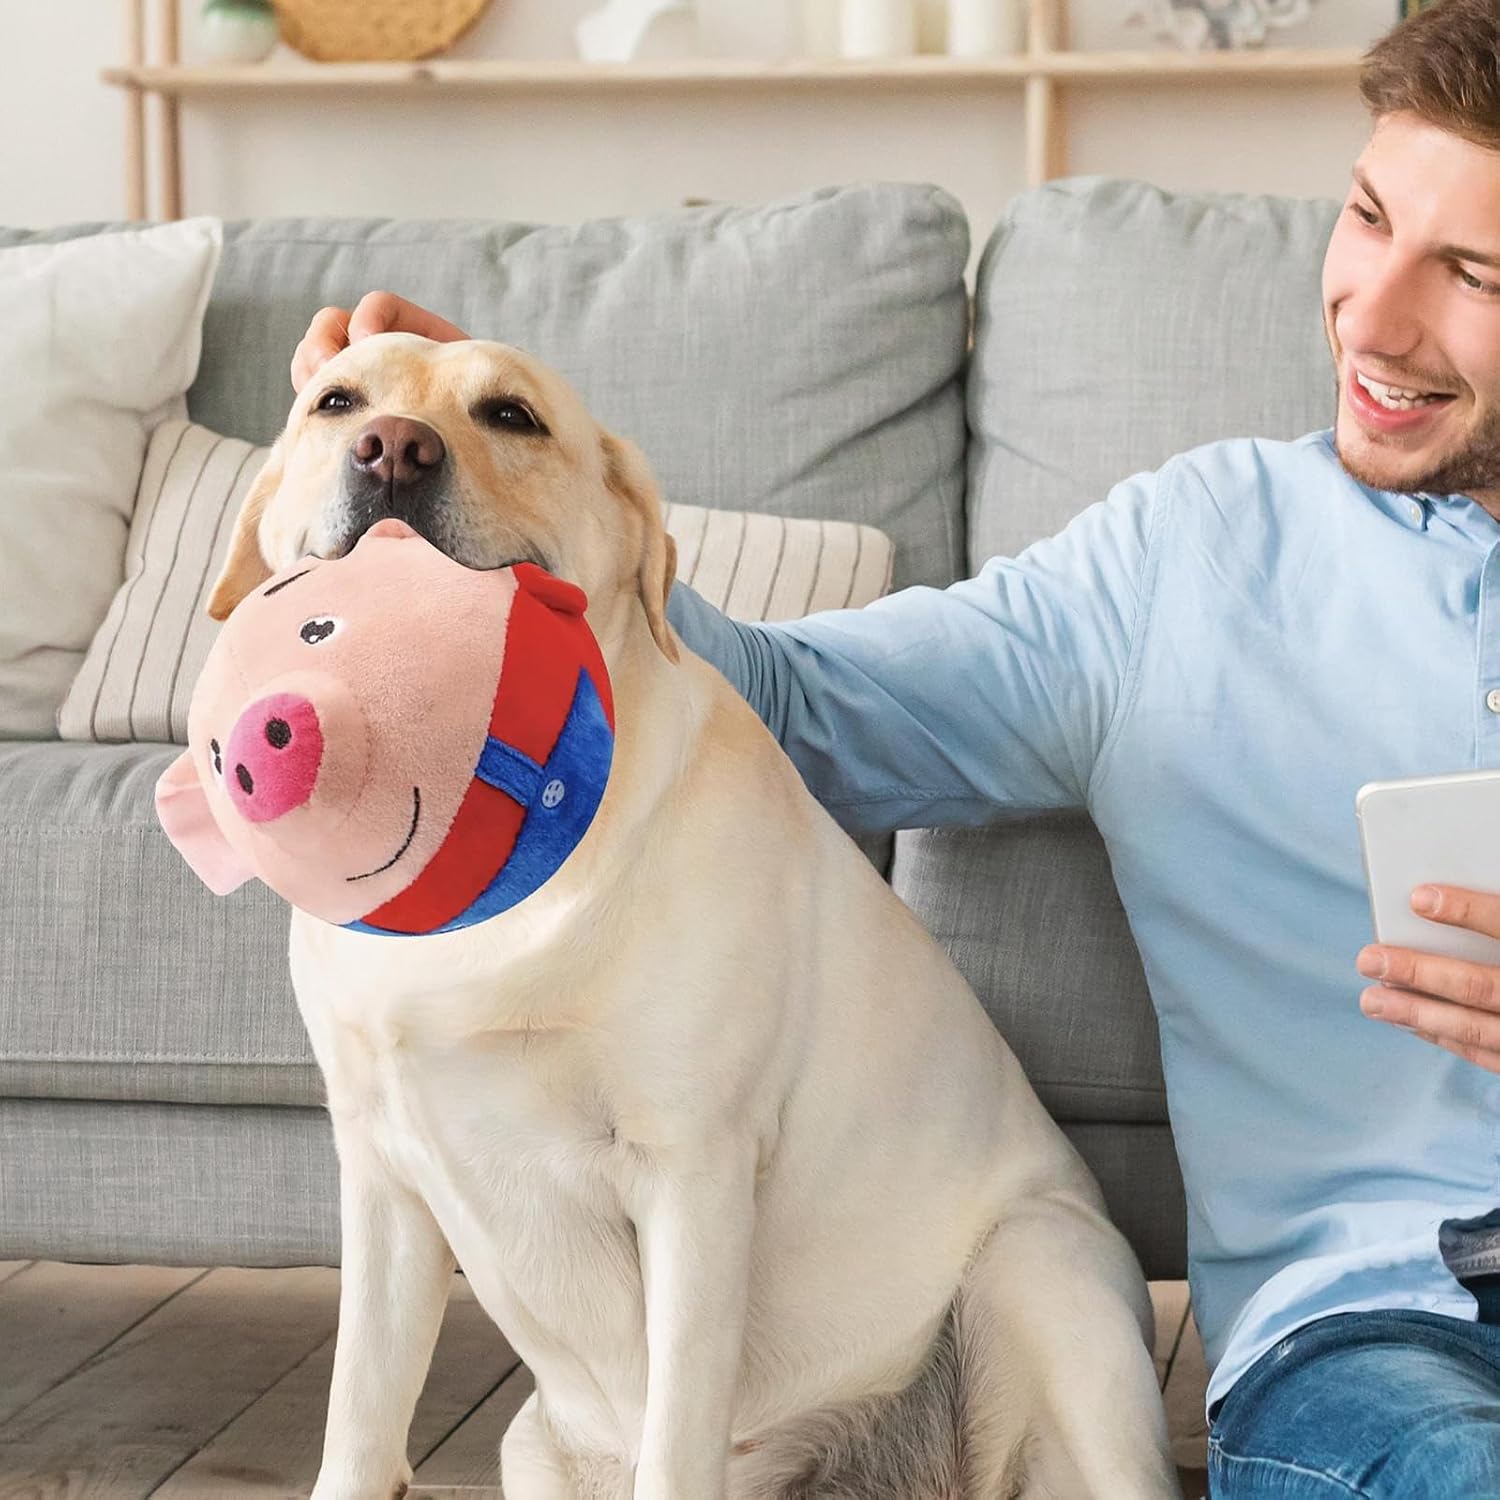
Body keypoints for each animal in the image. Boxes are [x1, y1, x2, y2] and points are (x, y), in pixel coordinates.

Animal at [205, 331, 1176, 1500]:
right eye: (335, 400)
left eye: (512, 415)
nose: (393, 449)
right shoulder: (384, 1179)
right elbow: (357, 1421)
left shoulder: (693, 1175)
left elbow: (676, 1441)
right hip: (531, 1442)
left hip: (1043, 1268)